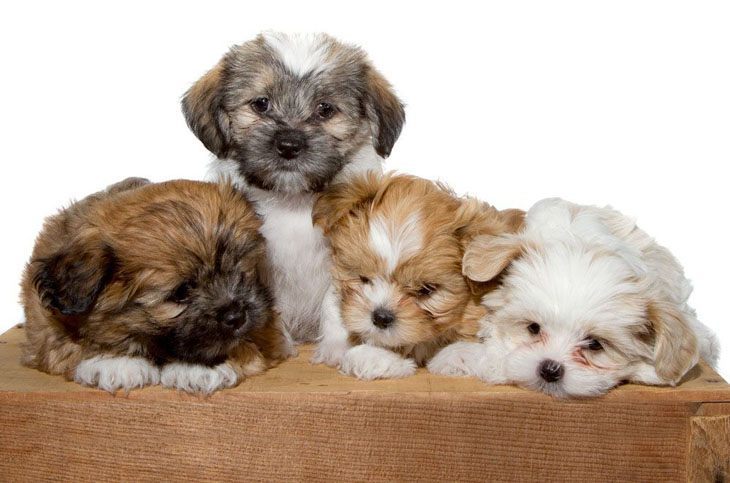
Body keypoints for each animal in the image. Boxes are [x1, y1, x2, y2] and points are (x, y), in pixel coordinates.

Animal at [21, 180, 292, 396]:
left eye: (240, 272)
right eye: (181, 292)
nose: (236, 316)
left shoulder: (267, 328)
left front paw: (198, 369)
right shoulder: (43, 323)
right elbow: (67, 344)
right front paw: (116, 363)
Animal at [181, 32, 404, 344]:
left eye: (325, 109)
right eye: (261, 104)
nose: (289, 144)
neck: (294, 200)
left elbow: (333, 305)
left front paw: (336, 347)